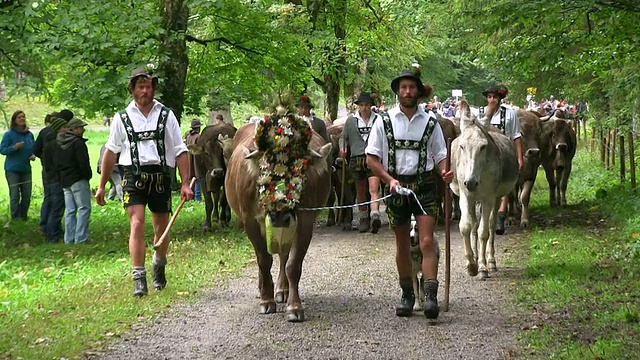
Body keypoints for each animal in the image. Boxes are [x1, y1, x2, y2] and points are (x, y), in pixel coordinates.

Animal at [225, 111, 332, 322]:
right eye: (266, 165)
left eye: (299, 167)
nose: (280, 215)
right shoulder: (250, 220)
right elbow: (263, 260)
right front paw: (266, 300)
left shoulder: (305, 221)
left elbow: (293, 264)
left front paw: (294, 306)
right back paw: (263, 289)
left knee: (283, 255)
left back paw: (282, 289)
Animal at [450, 100, 520, 280]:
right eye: (462, 146)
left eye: (483, 147)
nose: (471, 182)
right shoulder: (465, 196)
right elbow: (465, 227)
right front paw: (471, 265)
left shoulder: (488, 198)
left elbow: (484, 232)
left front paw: (482, 268)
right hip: (474, 198)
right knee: (474, 225)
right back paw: (476, 256)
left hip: (495, 198)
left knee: (490, 225)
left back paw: (491, 261)